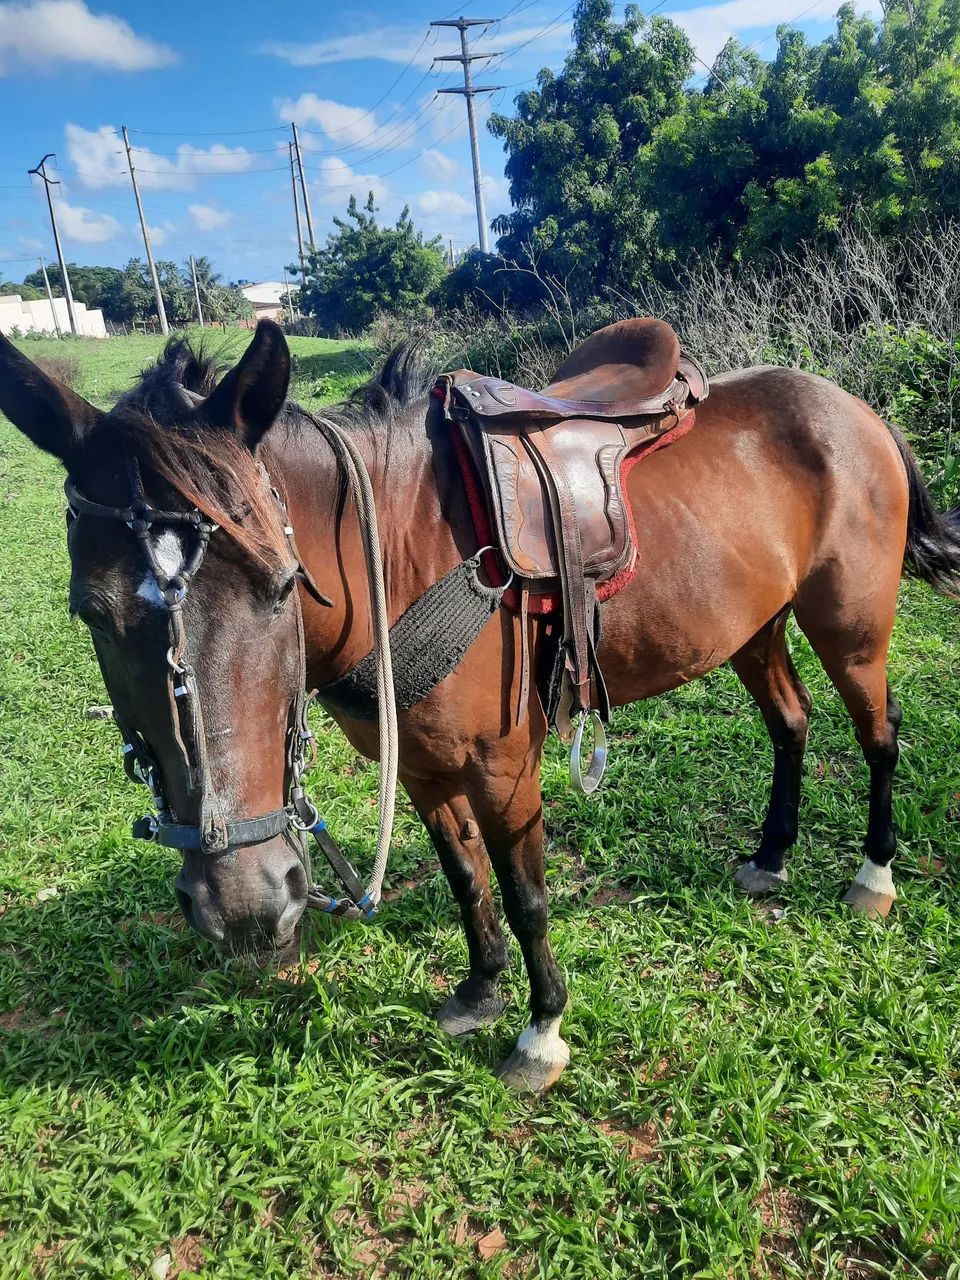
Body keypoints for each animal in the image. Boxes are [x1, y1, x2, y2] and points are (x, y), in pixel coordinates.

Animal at [1, 320, 958, 1093]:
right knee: (790, 724)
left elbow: (526, 893)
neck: (399, 547)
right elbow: (467, 880)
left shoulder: (503, 766)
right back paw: (771, 854)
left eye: (281, 586)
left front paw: (541, 1031)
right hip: (752, 628)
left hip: (851, 627)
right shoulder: (424, 769)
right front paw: (480, 989)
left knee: (879, 735)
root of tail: (854, 408)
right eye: (92, 612)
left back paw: (873, 876)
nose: (243, 904)